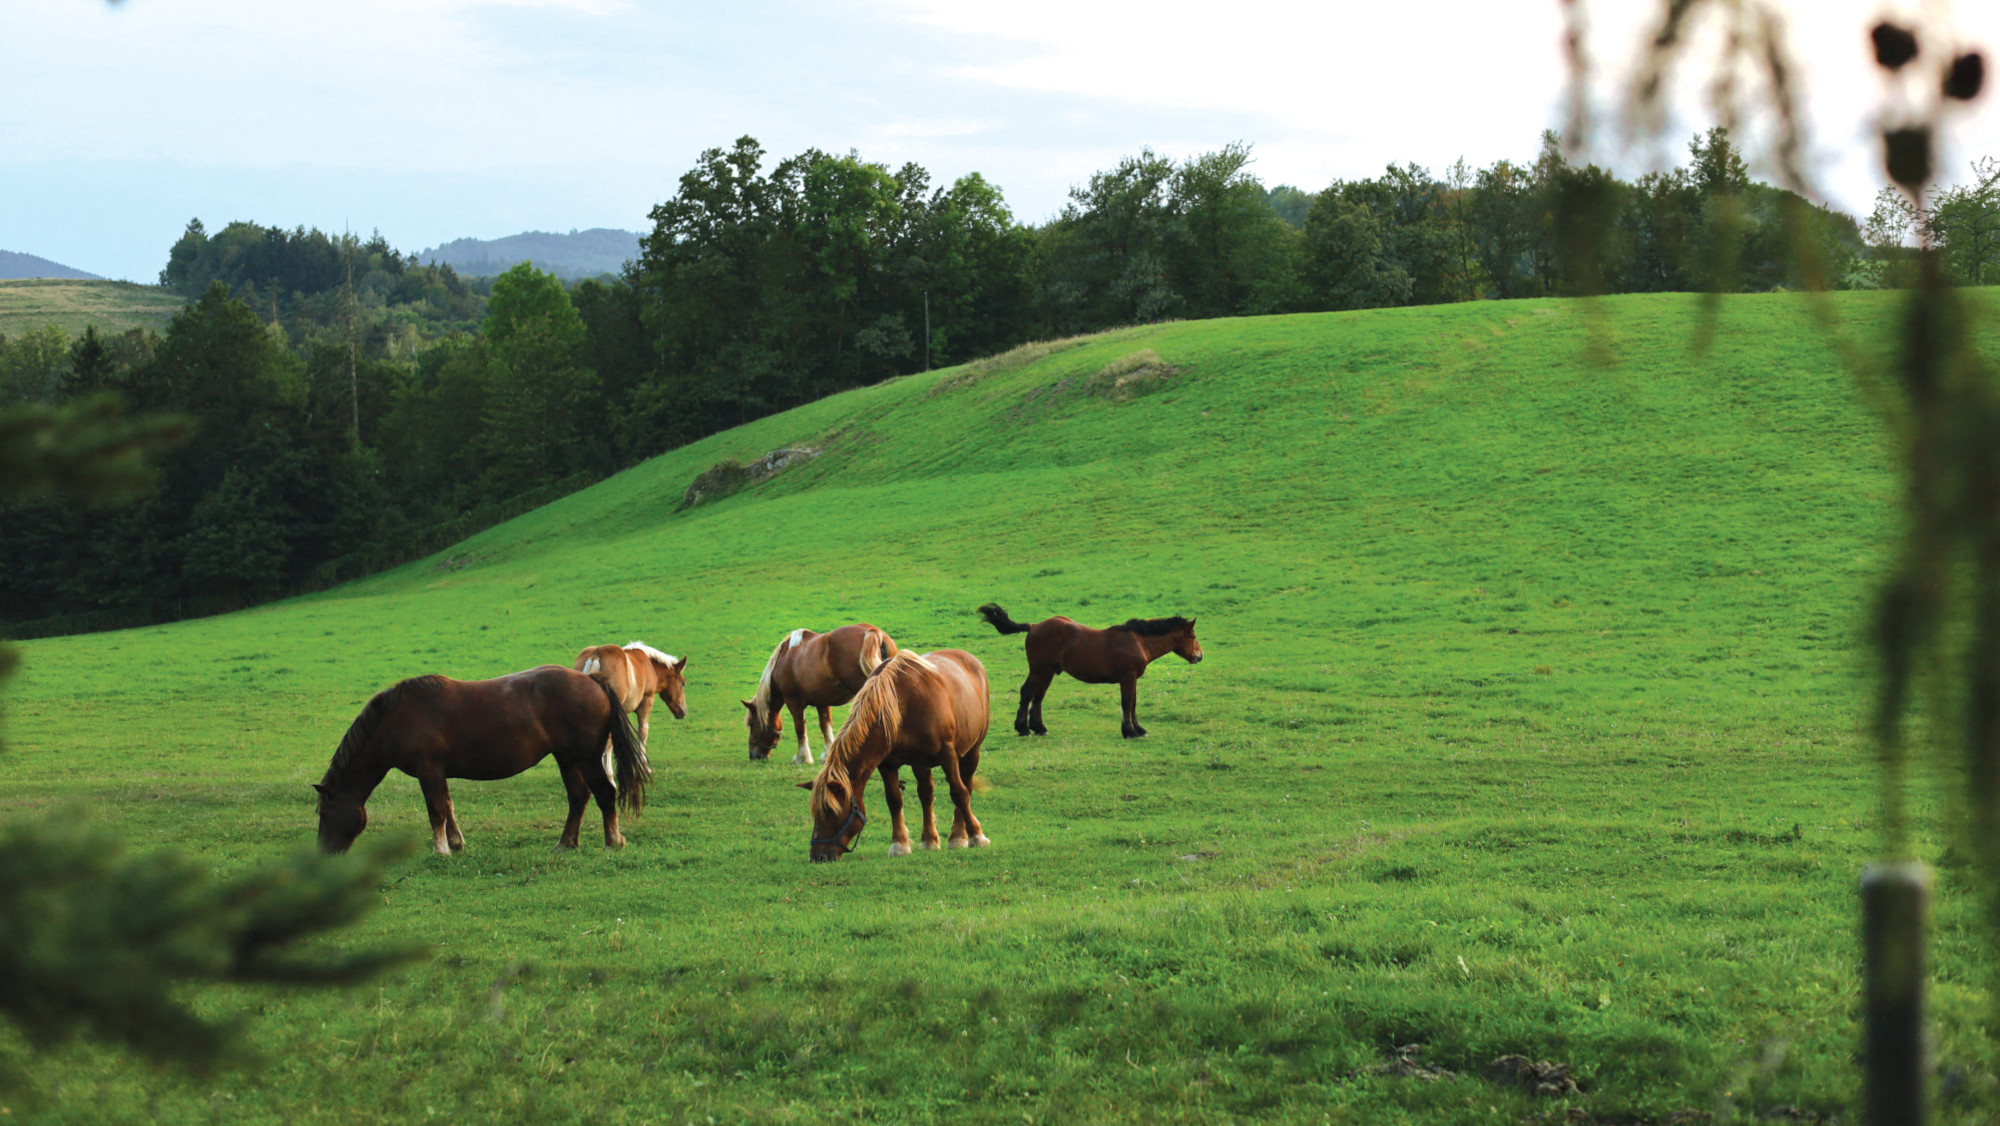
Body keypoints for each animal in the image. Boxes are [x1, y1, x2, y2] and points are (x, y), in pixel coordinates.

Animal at [314, 665, 649, 856]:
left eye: (324, 813)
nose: (323, 854)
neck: (398, 717)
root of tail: (592, 680)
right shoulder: (438, 773)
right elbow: (448, 807)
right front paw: (456, 843)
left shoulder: (428, 769)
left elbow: (436, 810)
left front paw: (441, 850)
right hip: (567, 759)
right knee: (579, 797)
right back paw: (565, 843)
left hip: (587, 758)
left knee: (605, 793)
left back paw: (613, 841)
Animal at [743, 623, 899, 764]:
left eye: (751, 723)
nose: (753, 756)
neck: (783, 660)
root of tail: (873, 632)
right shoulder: (822, 702)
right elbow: (826, 726)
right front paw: (827, 754)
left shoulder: (794, 703)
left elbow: (800, 728)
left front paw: (802, 757)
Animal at [799, 649, 990, 862]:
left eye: (831, 811)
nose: (818, 856)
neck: (901, 704)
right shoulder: (887, 764)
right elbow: (894, 800)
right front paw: (900, 844)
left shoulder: (948, 756)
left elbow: (959, 793)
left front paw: (976, 836)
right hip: (921, 763)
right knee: (926, 794)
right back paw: (930, 839)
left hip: (971, 753)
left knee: (966, 787)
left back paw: (959, 836)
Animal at [976, 603, 1203, 738]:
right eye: (1192, 636)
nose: (1199, 656)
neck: (1138, 641)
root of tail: (1034, 626)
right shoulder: (1128, 677)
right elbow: (1127, 703)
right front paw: (1129, 731)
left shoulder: (1133, 679)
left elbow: (1134, 703)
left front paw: (1139, 730)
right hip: (1039, 670)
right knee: (1027, 692)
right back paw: (1023, 728)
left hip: (1048, 671)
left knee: (1038, 696)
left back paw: (1039, 728)